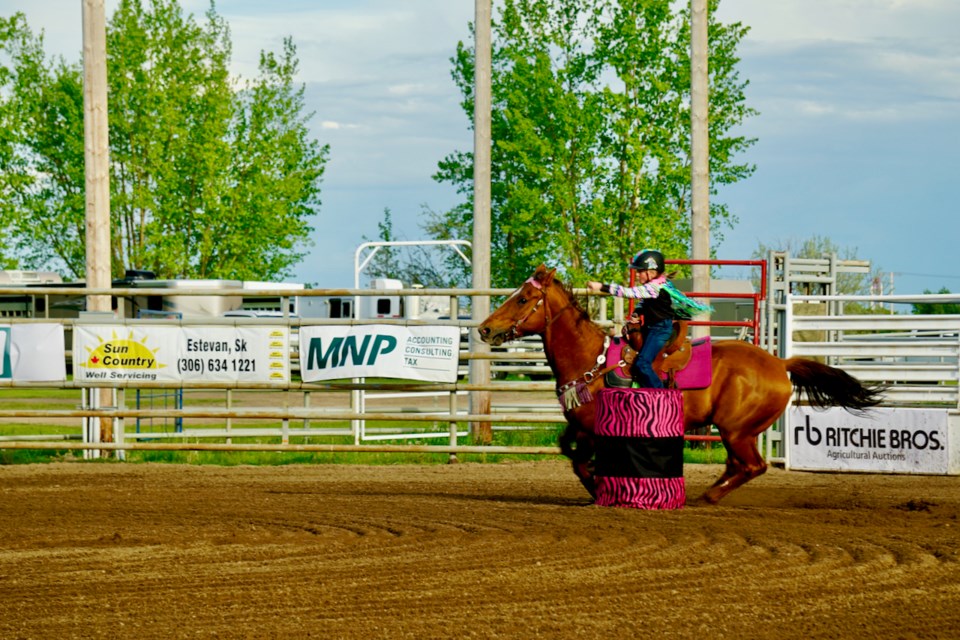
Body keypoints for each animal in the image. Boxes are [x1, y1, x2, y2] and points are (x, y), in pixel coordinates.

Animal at [476, 264, 880, 504]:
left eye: (523, 298)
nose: (484, 329)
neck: (592, 359)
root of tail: (779, 363)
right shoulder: (578, 425)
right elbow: (568, 452)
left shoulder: (592, 429)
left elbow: (580, 463)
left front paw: (598, 490)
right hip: (736, 432)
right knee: (739, 466)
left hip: (736, 430)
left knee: (752, 467)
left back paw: (706, 498)